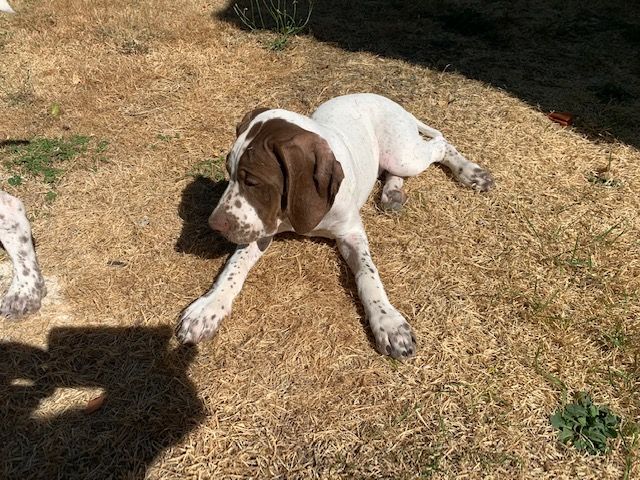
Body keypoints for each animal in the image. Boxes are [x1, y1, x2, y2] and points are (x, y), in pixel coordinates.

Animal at [176, 93, 496, 360]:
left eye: (252, 180)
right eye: (228, 172)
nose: (214, 225)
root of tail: (383, 98)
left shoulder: (351, 234)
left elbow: (368, 275)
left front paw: (388, 322)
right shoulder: (261, 227)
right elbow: (233, 268)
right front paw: (207, 308)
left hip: (404, 155)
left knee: (439, 146)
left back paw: (471, 173)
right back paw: (392, 193)